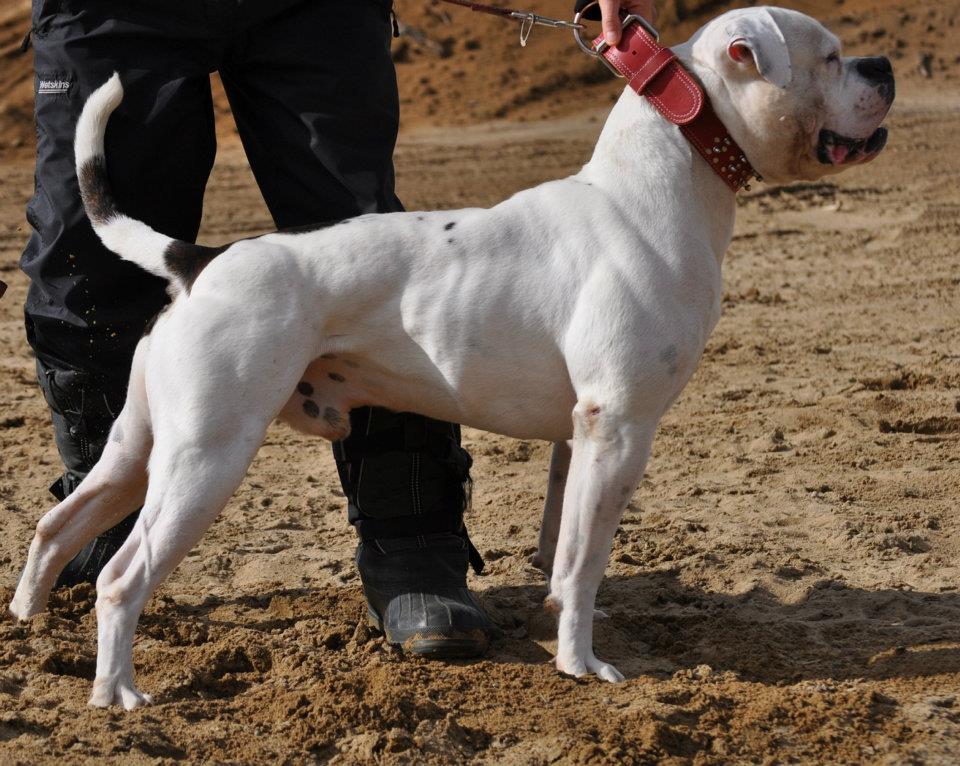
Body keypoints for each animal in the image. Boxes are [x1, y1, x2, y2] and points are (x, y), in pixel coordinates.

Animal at [9, 6, 892, 712]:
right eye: (830, 56)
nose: (882, 64)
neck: (655, 188)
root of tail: (202, 260)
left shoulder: (582, 439)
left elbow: (565, 552)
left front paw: (565, 633)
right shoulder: (620, 430)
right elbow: (587, 563)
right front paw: (582, 665)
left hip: (137, 451)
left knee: (57, 524)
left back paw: (26, 622)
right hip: (205, 459)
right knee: (123, 577)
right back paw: (117, 693)